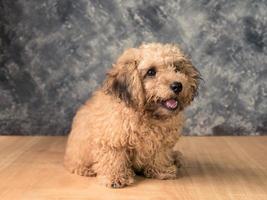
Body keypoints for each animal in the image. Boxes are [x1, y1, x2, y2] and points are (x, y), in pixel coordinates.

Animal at [63, 42, 200, 188]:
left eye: (176, 68)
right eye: (151, 72)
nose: (177, 85)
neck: (148, 115)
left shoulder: (162, 142)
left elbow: (159, 155)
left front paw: (161, 170)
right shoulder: (113, 139)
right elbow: (114, 158)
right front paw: (115, 177)